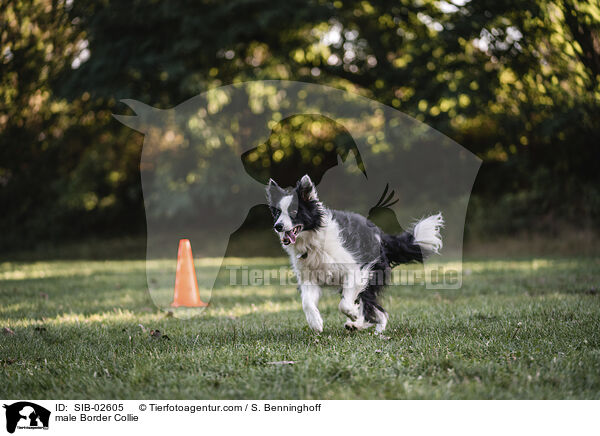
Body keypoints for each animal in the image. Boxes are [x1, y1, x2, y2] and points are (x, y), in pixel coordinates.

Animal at [268, 174, 446, 334]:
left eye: (294, 211)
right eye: (277, 213)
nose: (277, 226)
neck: (313, 241)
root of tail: (381, 236)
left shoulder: (355, 270)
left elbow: (344, 305)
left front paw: (353, 313)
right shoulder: (308, 277)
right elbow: (306, 302)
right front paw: (316, 323)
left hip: (372, 275)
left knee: (375, 309)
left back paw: (368, 327)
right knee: (376, 310)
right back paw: (359, 326)